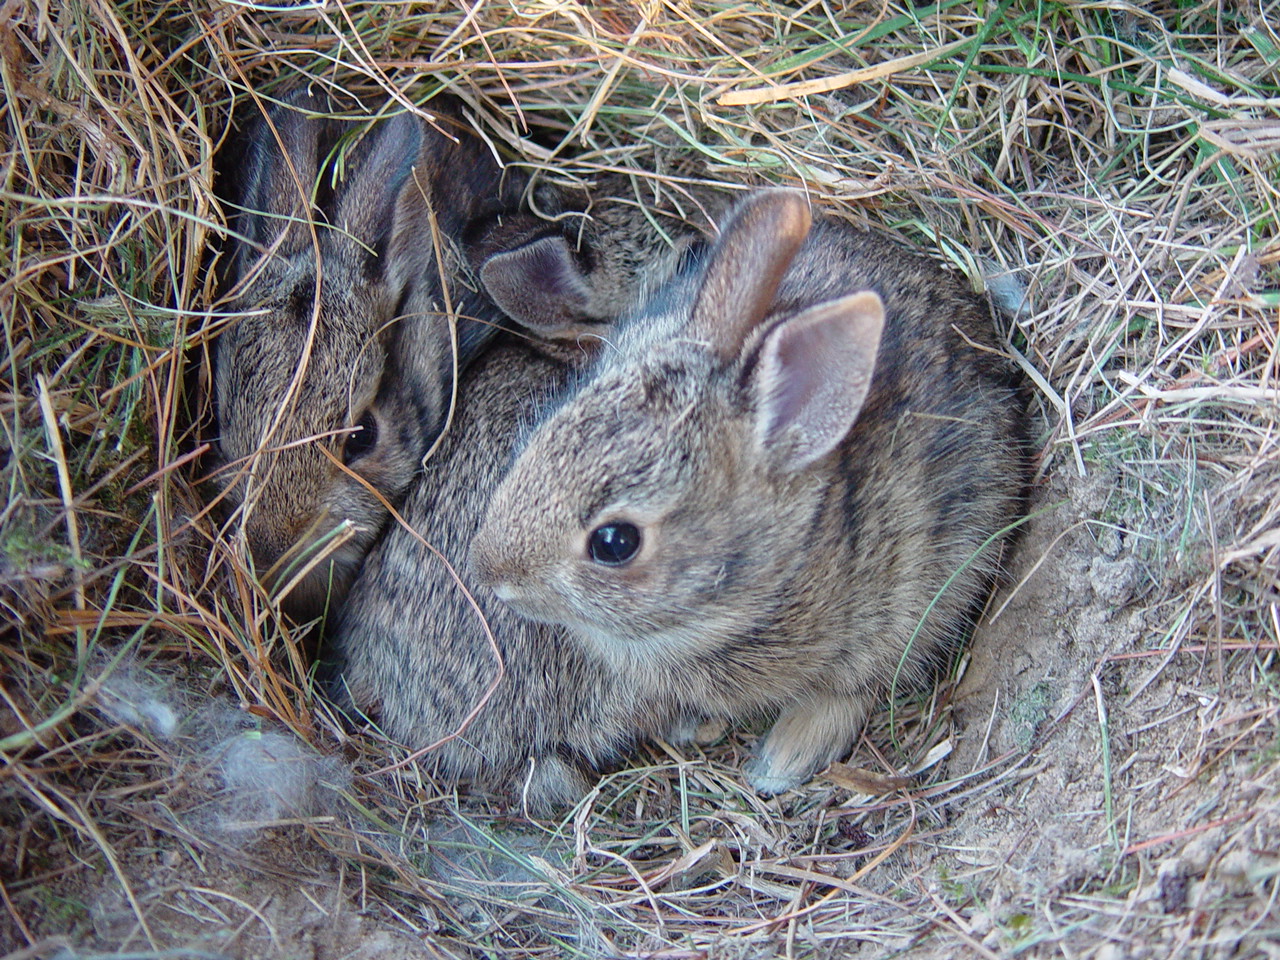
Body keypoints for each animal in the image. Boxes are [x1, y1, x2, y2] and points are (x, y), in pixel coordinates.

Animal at [473, 188, 1029, 798]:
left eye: (615, 543)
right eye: (549, 428)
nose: (491, 574)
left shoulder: (906, 601)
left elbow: (854, 690)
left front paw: (781, 761)